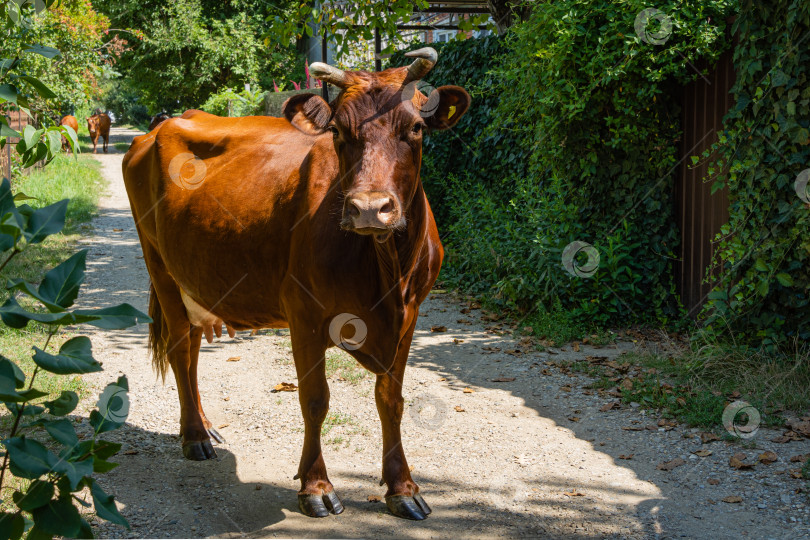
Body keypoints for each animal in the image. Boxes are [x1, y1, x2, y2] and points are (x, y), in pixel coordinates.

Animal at [123, 48, 470, 520]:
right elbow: (315, 400)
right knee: (180, 348)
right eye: (338, 130)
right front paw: (315, 486)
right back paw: (194, 436)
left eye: (416, 127)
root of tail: (164, 123)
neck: (385, 270)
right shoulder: (303, 314)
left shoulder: (410, 315)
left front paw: (402, 488)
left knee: (192, 349)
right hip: (159, 264)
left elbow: (391, 400)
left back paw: (206, 426)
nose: (369, 208)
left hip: (193, 276)